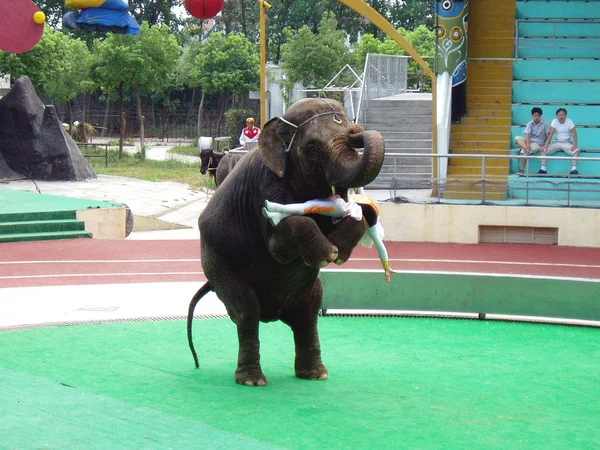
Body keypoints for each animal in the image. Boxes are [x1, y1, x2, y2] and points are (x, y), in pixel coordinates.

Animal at [188, 98, 384, 386]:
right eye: (312, 149)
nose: (355, 131)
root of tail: (273, 314)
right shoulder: (266, 187)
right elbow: (278, 245)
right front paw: (328, 253)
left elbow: (361, 211)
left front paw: (339, 251)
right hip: (217, 263)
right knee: (246, 311)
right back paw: (252, 380)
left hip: (305, 292)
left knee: (308, 315)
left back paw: (315, 374)